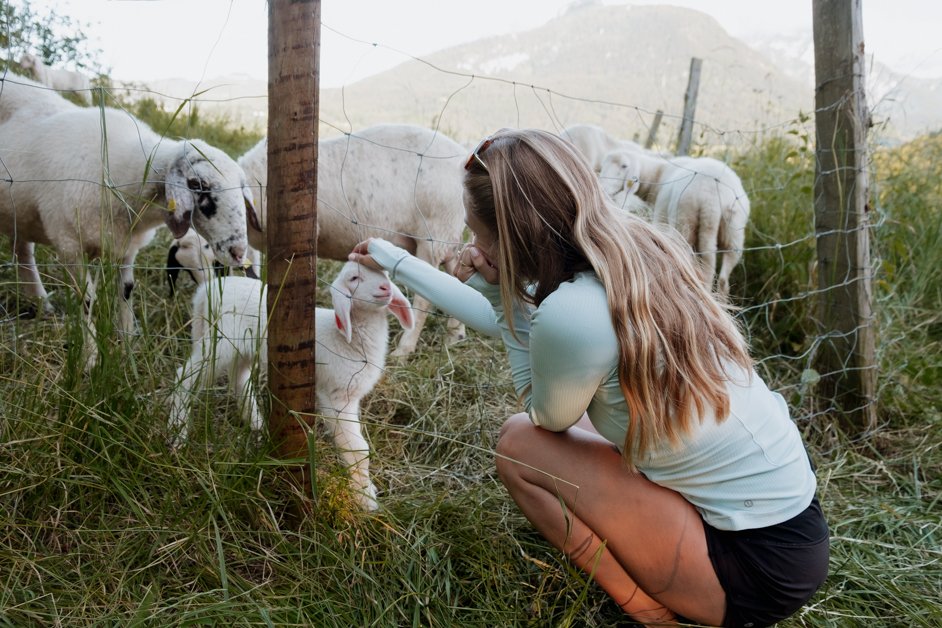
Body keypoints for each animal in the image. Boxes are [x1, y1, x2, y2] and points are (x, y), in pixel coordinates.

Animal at [0, 73, 260, 368]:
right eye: (198, 185)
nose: (238, 252)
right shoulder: (69, 245)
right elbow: (87, 300)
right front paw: (91, 358)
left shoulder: (125, 245)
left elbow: (125, 291)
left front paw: (127, 344)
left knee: (22, 251)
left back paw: (42, 304)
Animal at [169, 262, 416, 512]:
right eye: (354, 278)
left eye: (385, 274)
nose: (386, 288)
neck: (347, 338)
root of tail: (207, 290)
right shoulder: (336, 397)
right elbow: (357, 449)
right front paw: (365, 499)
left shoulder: (351, 397)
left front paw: (367, 490)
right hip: (219, 343)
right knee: (184, 377)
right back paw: (177, 434)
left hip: (242, 347)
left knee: (238, 379)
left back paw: (257, 425)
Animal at [235, 124, 468, 358]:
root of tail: (462, 157)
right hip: (449, 238)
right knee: (457, 280)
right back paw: (454, 336)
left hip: (434, 235)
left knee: (425, 298)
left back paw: (404, 350)